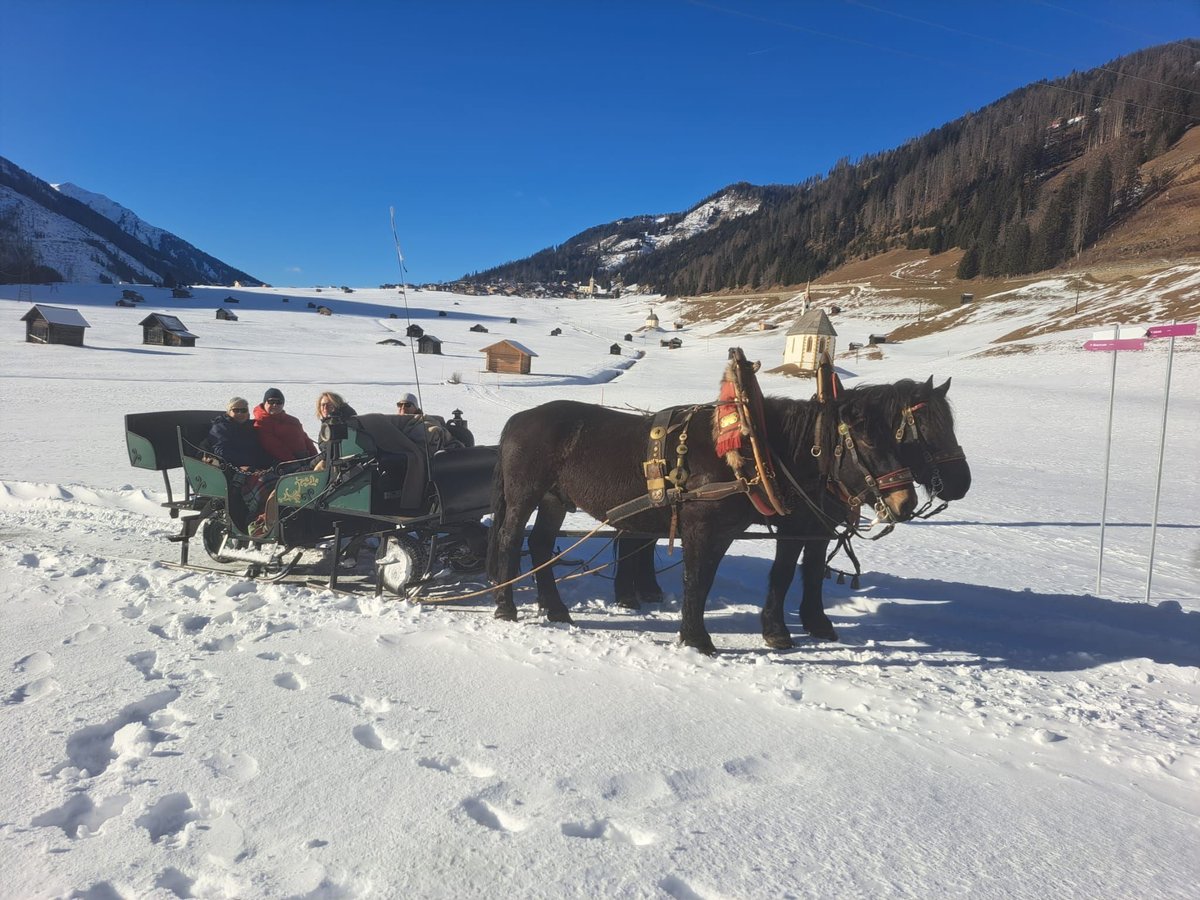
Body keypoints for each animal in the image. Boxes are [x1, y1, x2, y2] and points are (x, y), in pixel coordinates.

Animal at [487, 391, 916, 652]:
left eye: (899, 439)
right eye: (869, 441)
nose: (906, 501)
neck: (749, 449)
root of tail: (517, 420)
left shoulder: (726, 534)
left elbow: (710, 580)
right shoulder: (703, 529)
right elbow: (696, 580)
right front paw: (696, 639)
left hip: (554, 500)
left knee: (541, 546)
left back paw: (555, 608)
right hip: (526, 495)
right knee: (510, 540)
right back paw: (506, 607)